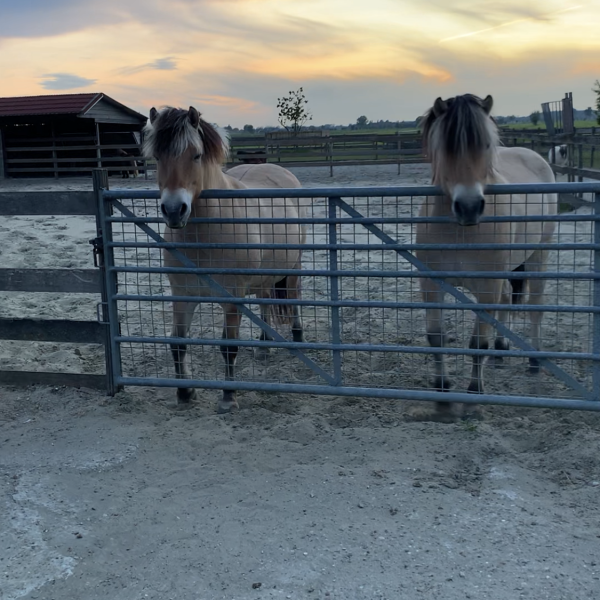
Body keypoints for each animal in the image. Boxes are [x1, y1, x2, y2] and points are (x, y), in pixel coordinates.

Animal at [144, 105, 304, 412]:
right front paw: (185, 393)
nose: (174, 210)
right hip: (264, 276)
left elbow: (228, 346)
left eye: (195, 155)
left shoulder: (232, 297)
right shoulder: (182, 295)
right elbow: (177, 344)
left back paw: (298, 339)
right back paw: (264, 345)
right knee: (265, 299)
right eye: (157, 157)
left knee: (293, 297)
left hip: (294, 267)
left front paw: (229, 397)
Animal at [418, 94, 556, 420]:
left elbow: (477, 343)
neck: (459, 232)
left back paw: (534, 362)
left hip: (539, 255)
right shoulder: (431, 284)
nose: (469, 207)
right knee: (506, 298)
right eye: (446, 146)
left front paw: (472, 396)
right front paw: (442, 394)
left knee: (534, 306)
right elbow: (436, 337)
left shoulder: (485, 287)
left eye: (485, 144)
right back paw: (502, 350)